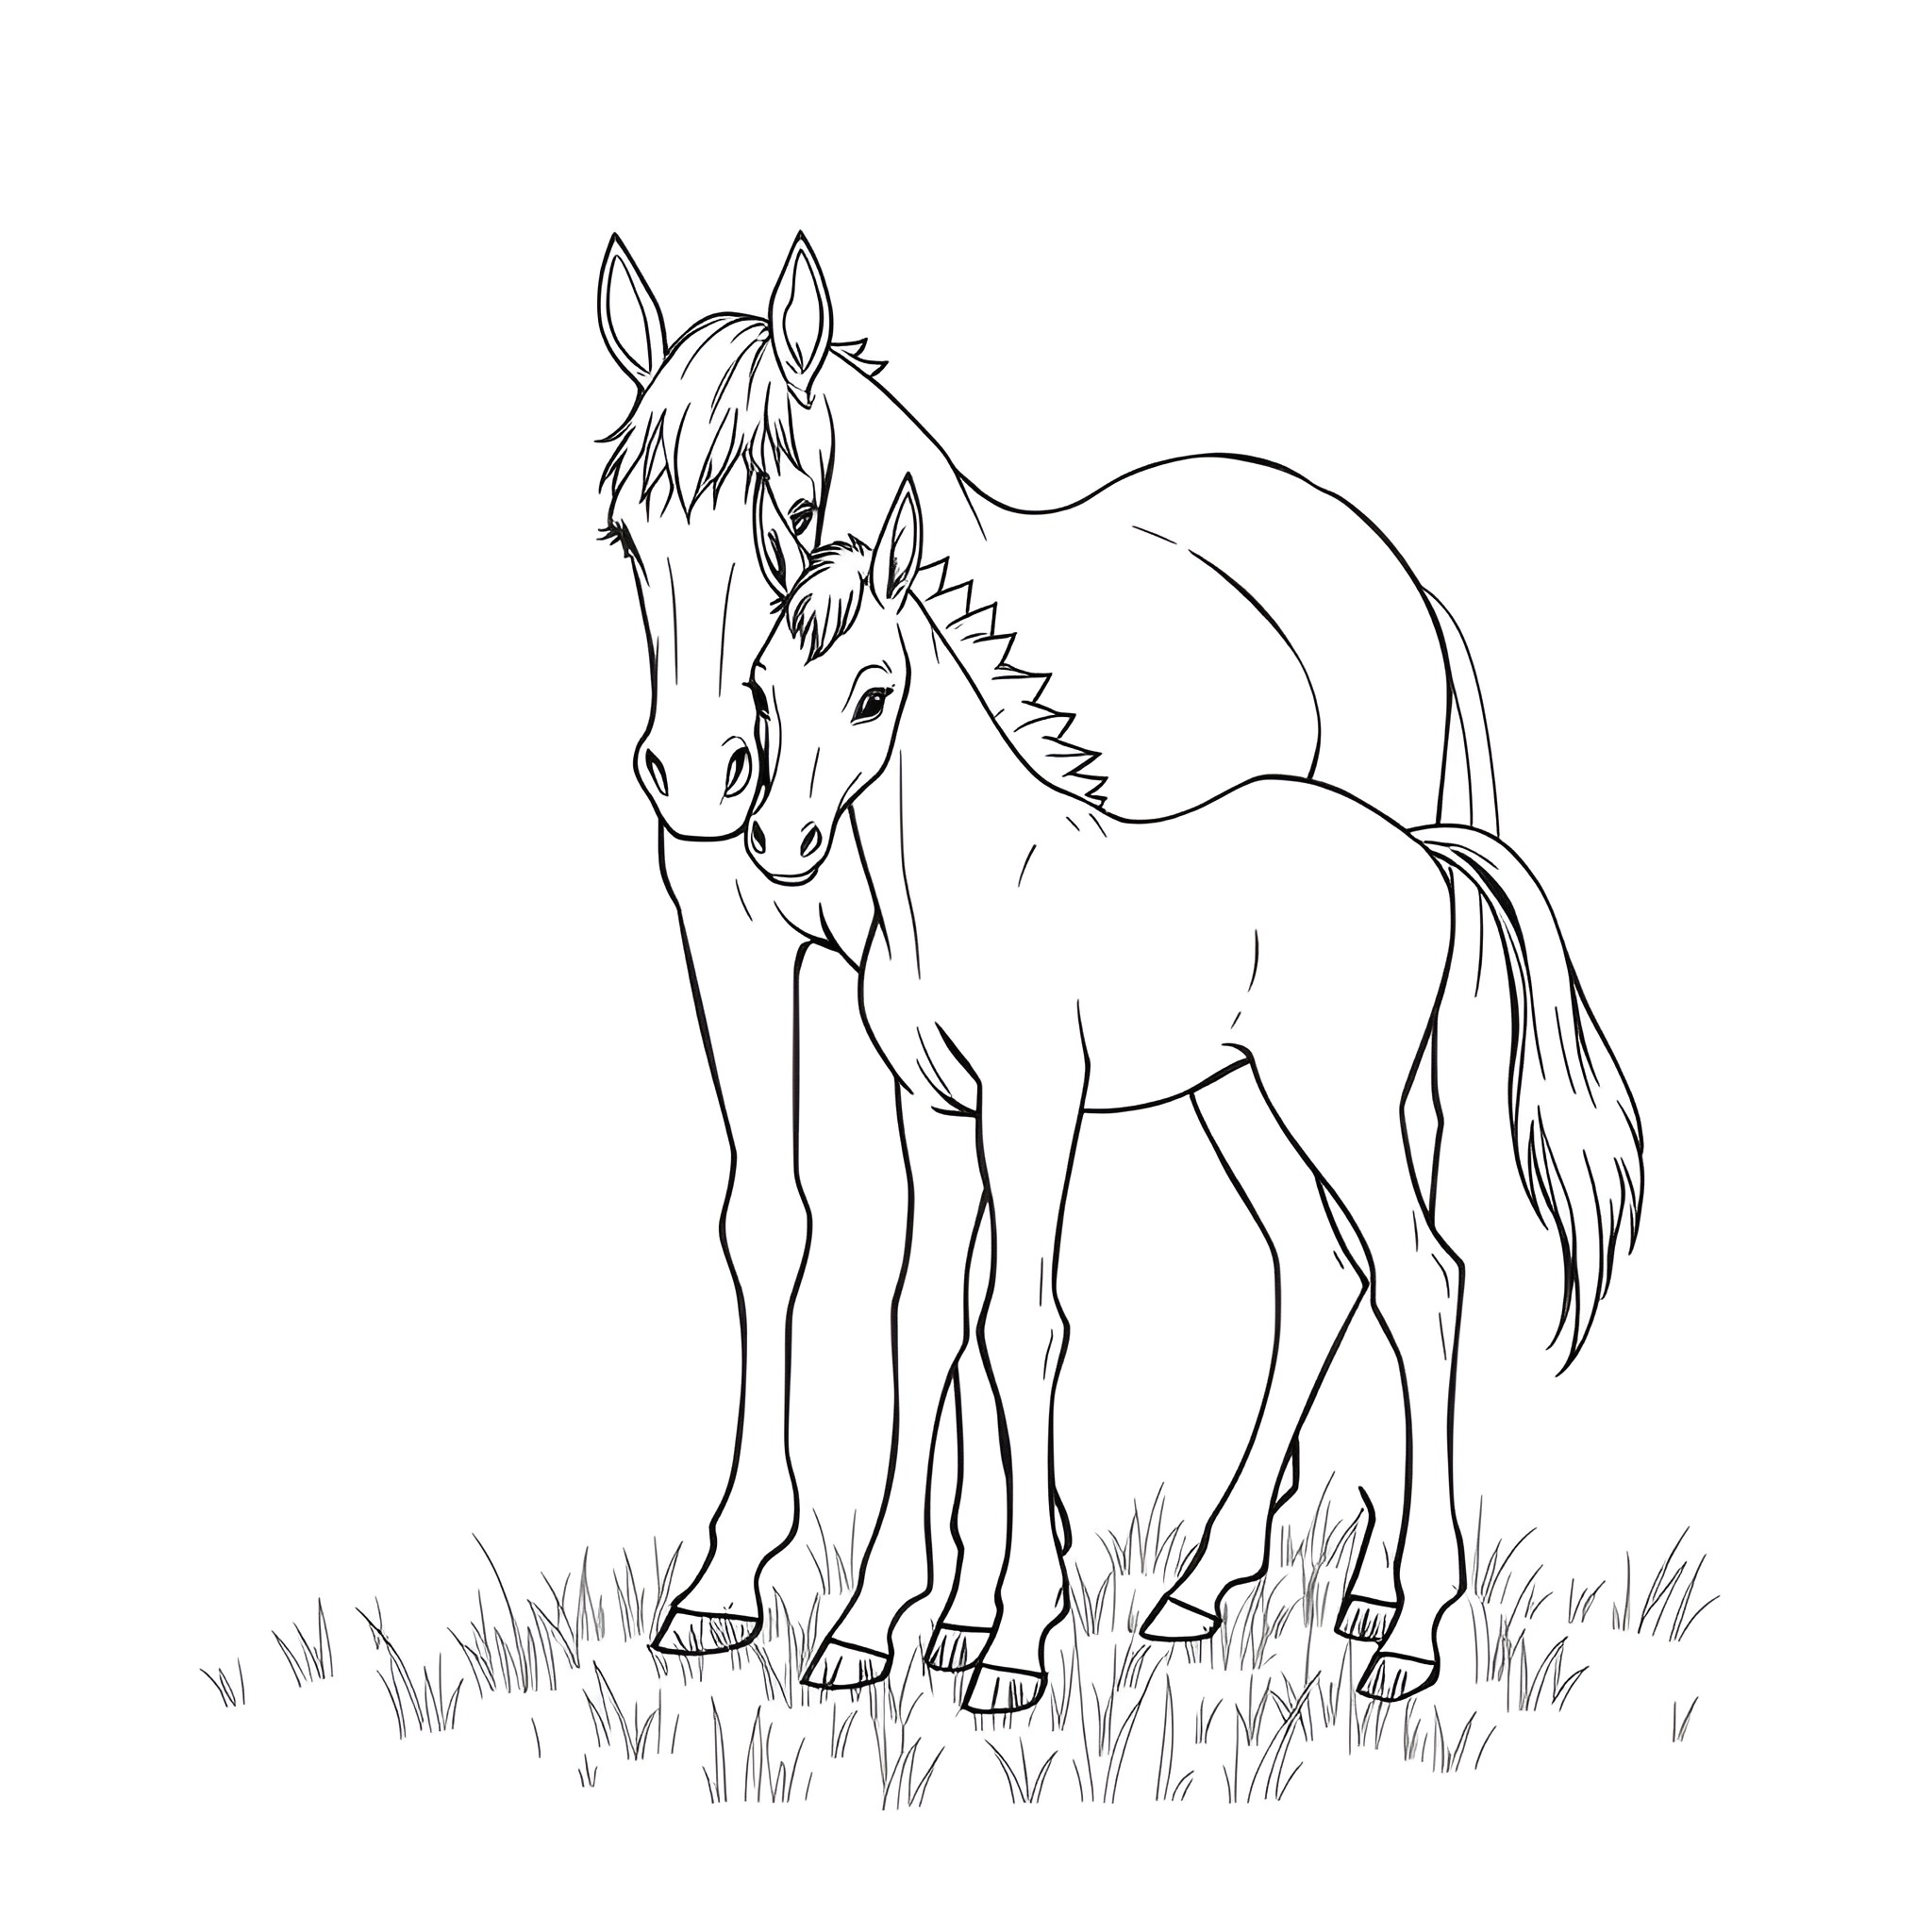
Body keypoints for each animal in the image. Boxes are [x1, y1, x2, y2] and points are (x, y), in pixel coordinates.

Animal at [744, 476, 1642, 1712]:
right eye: (761, 687)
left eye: (873, 693)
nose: (778, 842)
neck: (969, 888)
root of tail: (1418, 847)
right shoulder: (933, 1115)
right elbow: (921, 1322)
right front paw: (866, 1630)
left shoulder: (1033, 1109)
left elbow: (1022, 1324)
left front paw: (1012, 1642)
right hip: (1244, 1103)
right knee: (1323, 1269)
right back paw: (1199, 1590)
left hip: (1337, 1107)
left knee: (1421, 1275)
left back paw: (1407, 1633)